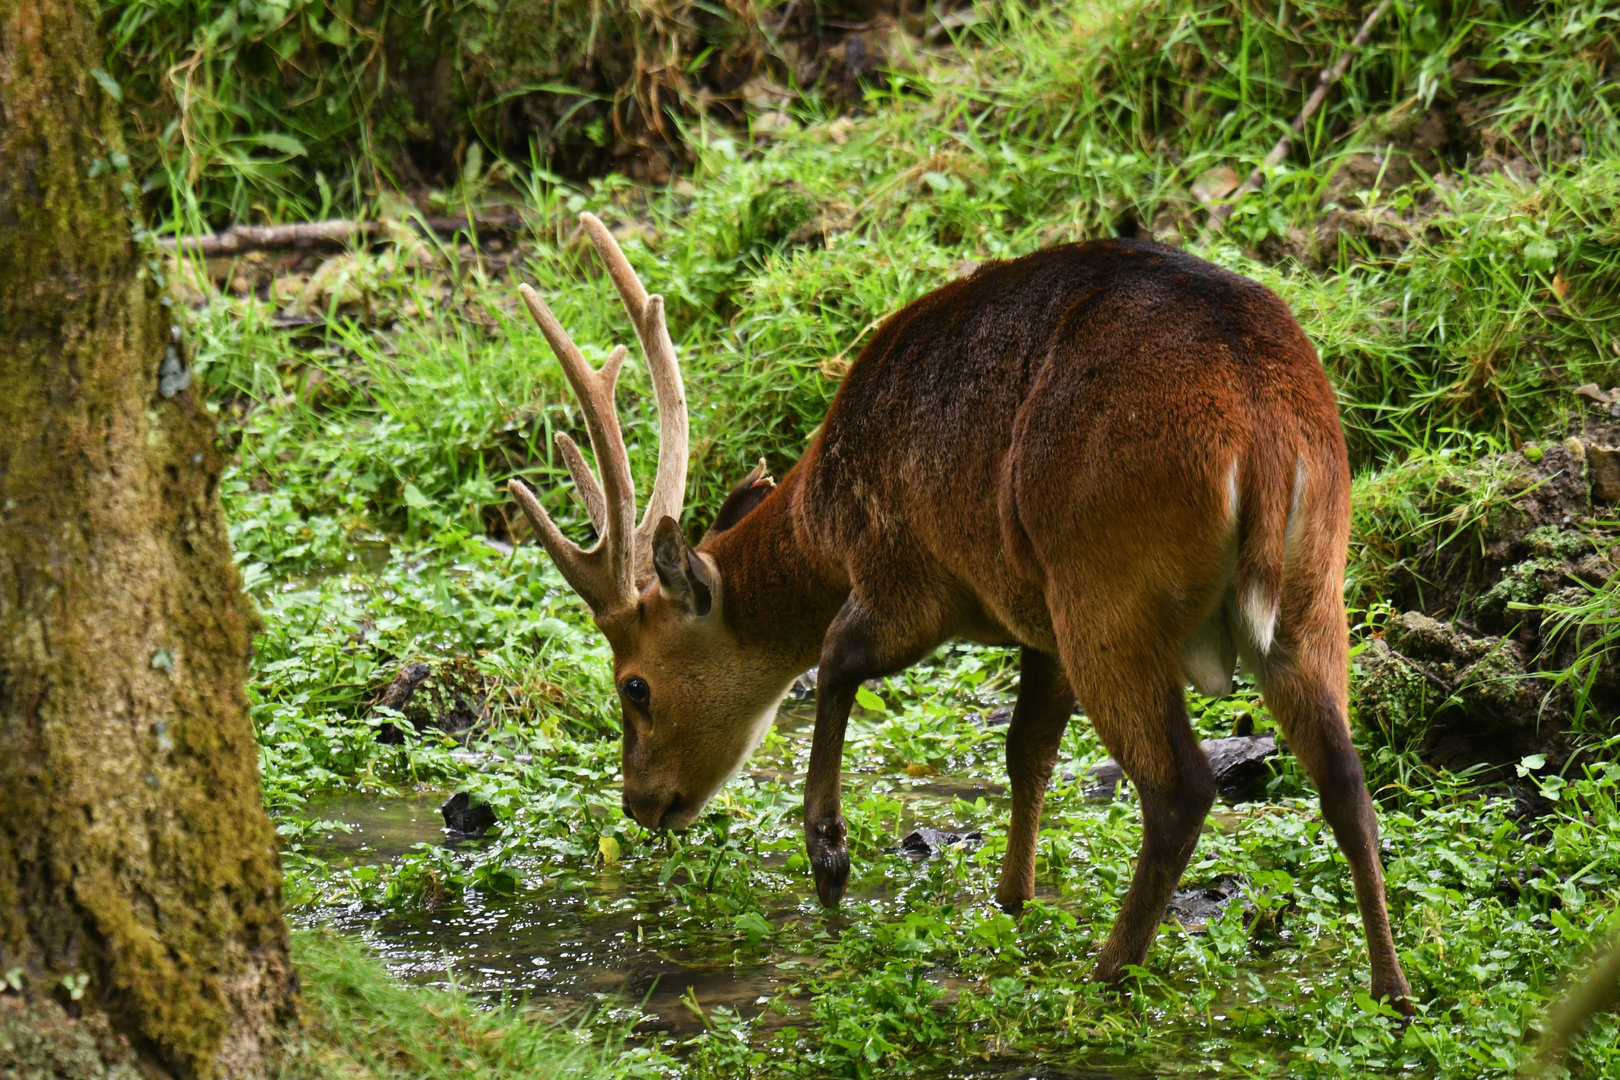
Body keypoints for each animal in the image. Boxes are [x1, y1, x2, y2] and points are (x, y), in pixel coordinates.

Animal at [504, 213, 1413, 1013]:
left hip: (1105, 582)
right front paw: (1011, 900)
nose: (642, 803)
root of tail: (1265, 437)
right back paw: (1392, 993)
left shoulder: (911, 572)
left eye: (635, 686)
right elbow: (1026, 754)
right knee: (1345, 778)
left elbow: (837, 658)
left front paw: (829, 856)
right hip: (1311, 590)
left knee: (1182, 786)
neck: (823, 519)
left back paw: (1105, 973)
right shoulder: (1035, 624)